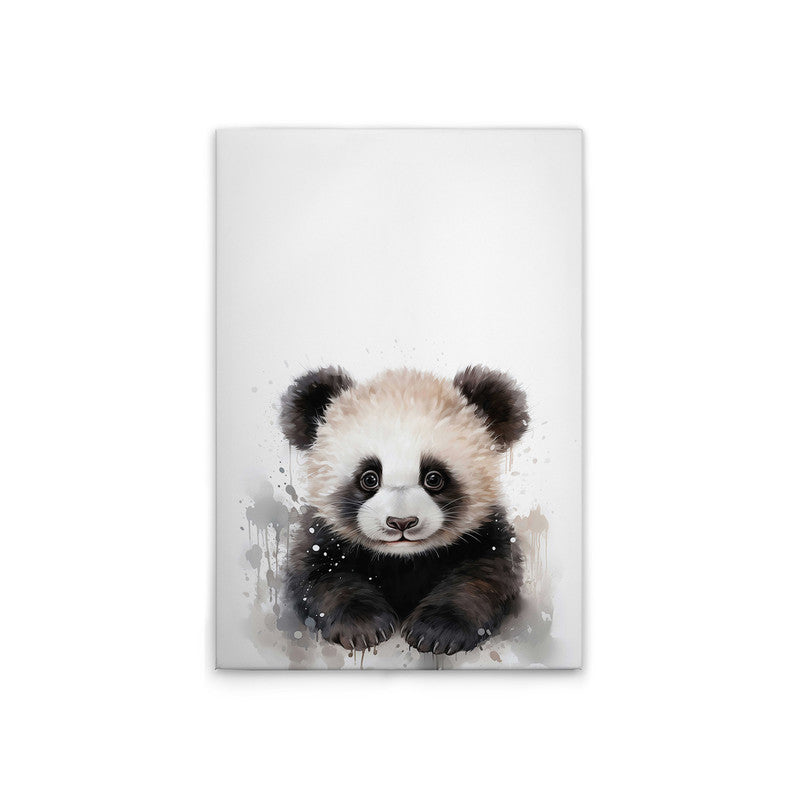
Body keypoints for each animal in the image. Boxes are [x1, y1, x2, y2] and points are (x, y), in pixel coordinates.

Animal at [279, 365, 529, 656]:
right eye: (369, 478)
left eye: (434, 478)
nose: (401, 522)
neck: (403, 558)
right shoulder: (323, 532)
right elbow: (319, 575)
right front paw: (362, 625)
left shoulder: (485, 530)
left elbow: (484, 576)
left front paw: (437, 631)